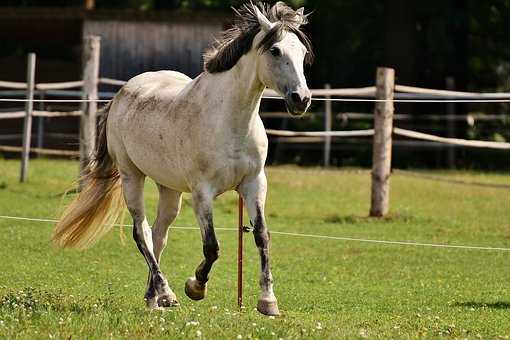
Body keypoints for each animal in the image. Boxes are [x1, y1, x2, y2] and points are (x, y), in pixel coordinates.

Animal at [53, 1, 312, 316]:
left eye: (302, 52)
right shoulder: (202, 193)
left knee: (158, 235)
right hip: (131, 176)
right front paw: (195, 286)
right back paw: (167, 294)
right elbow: (212, 247)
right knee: (141, 232)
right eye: (275, 50)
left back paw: (153, 298)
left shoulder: (254, 184)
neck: (229, 120)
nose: (301, 99)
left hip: (169, 189)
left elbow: (262, 236)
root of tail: (121, 93)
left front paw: (268, 302)